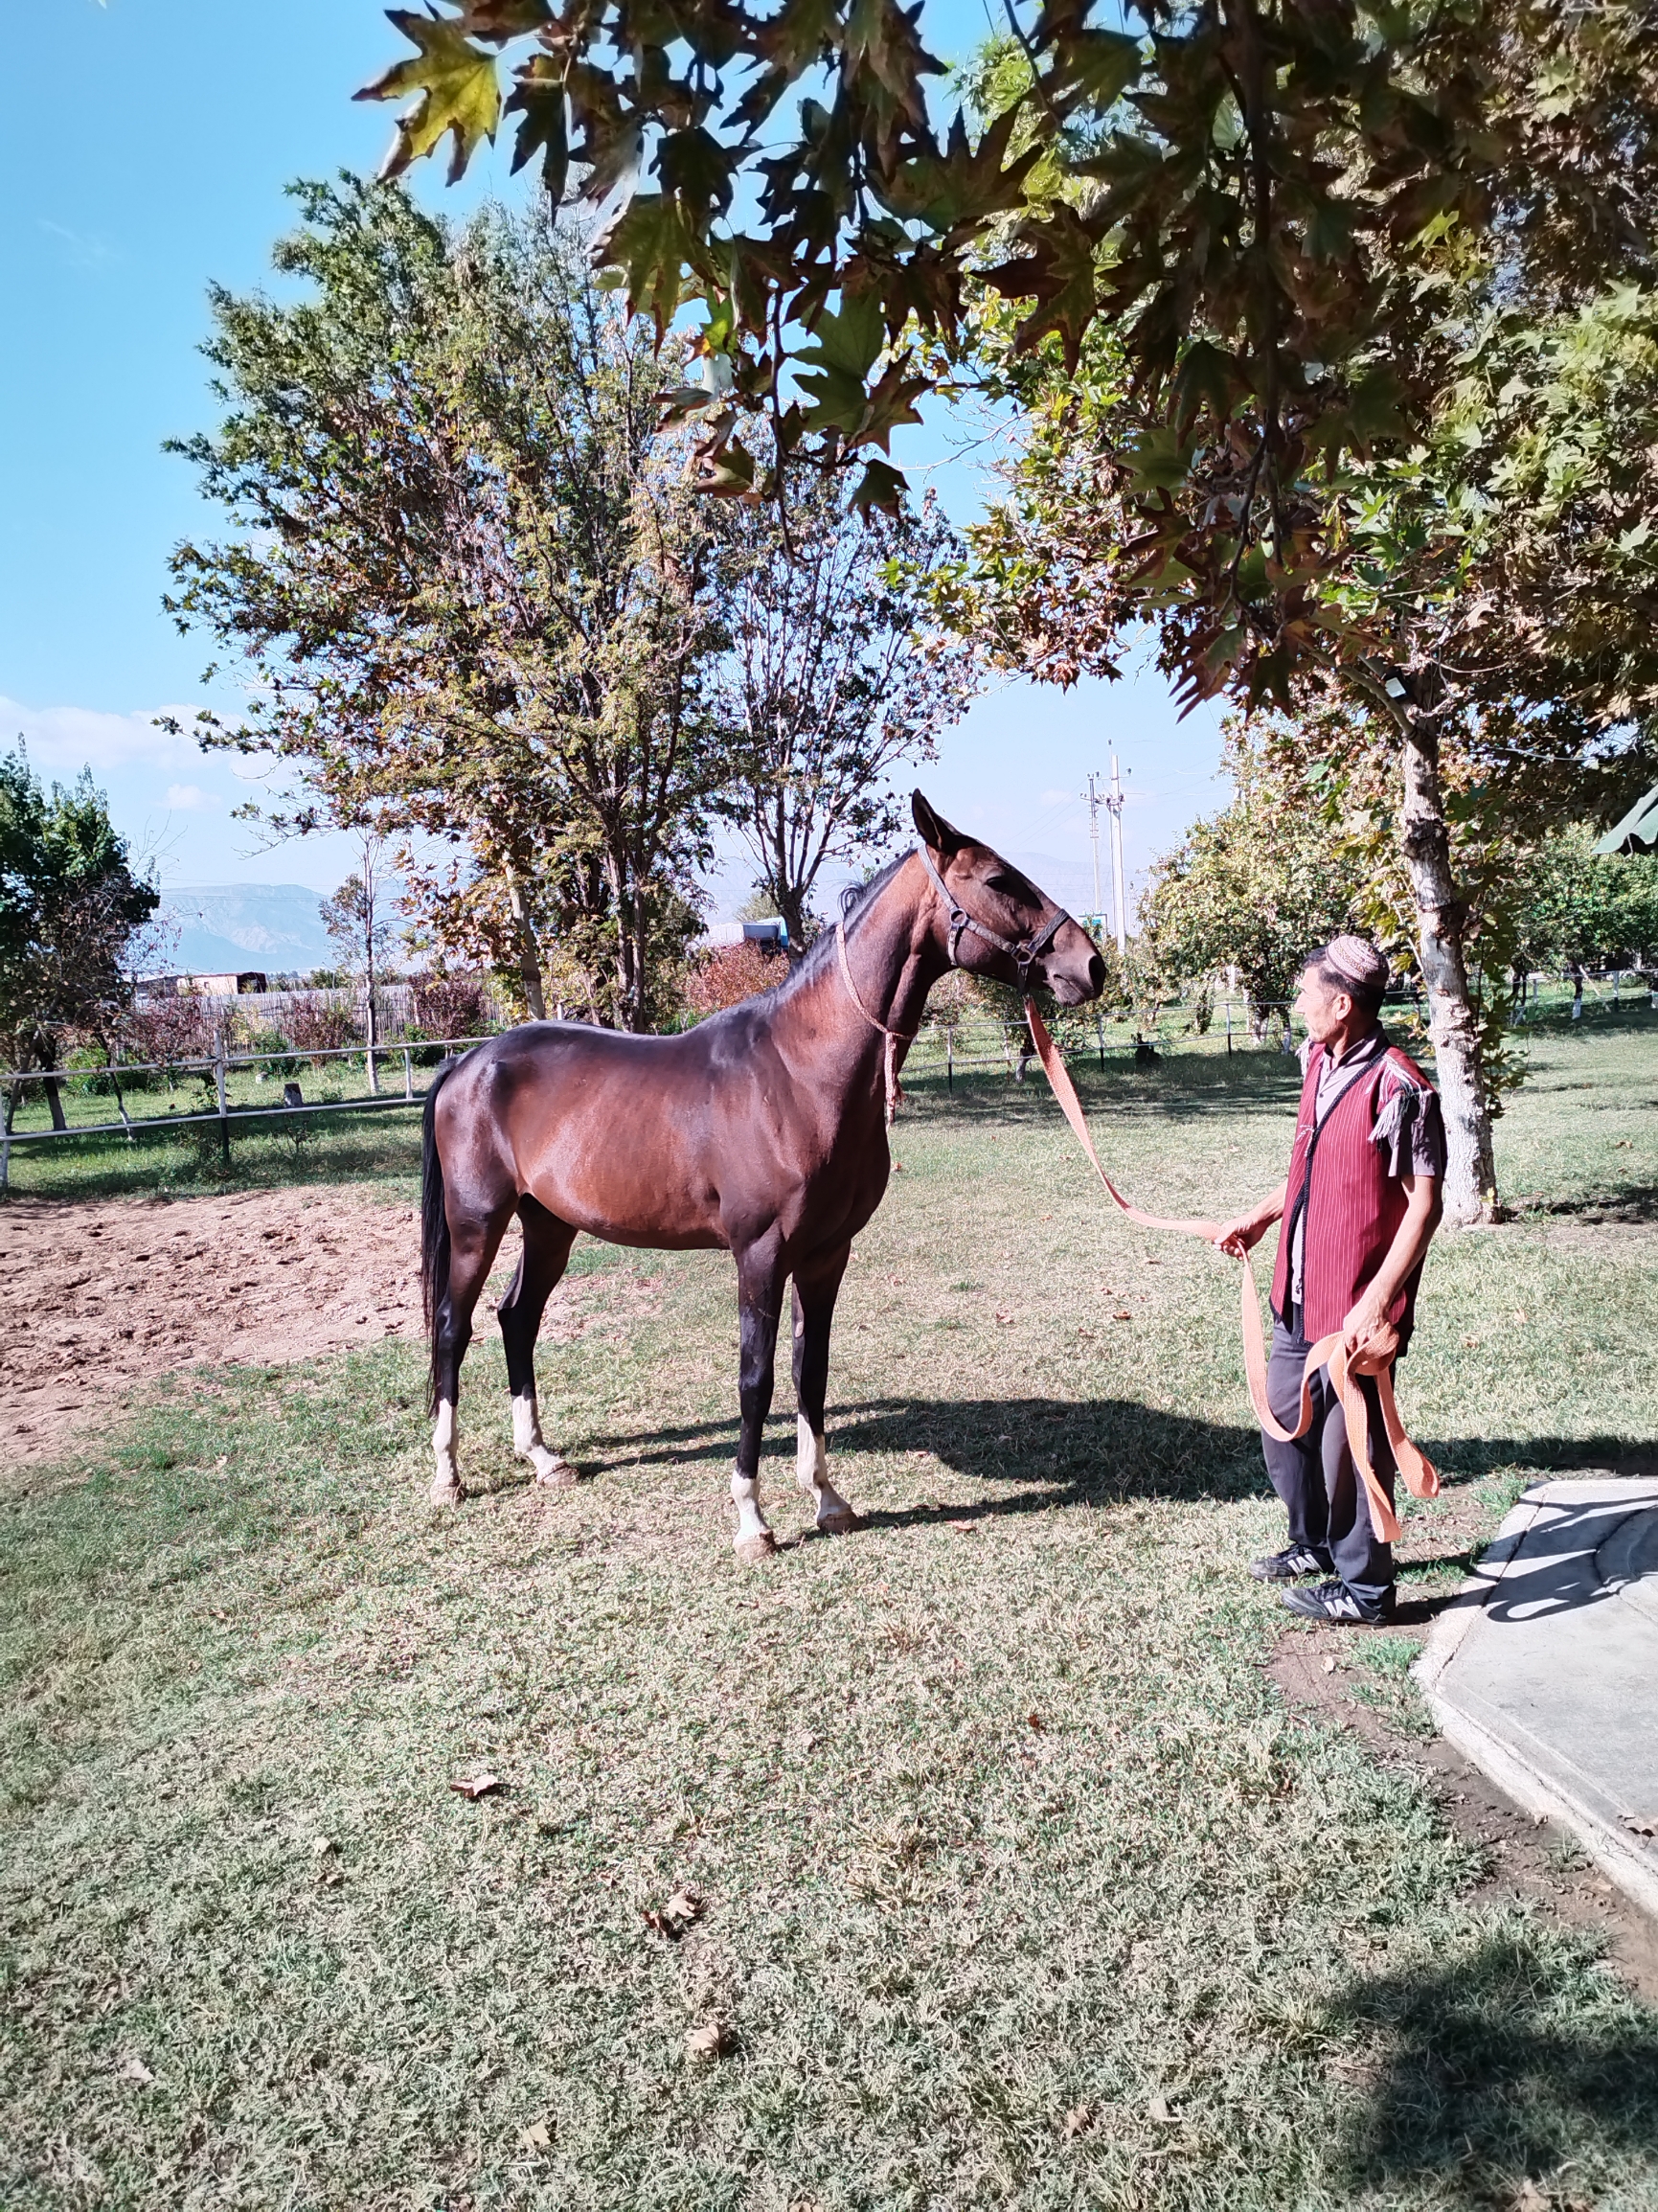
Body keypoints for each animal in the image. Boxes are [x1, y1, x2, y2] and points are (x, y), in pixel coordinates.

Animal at [421, 796, 1109, 1557]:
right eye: (996, 880)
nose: (1090, 964)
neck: (799, 1074)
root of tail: (467, 1063)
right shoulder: (759, 1254)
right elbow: (756, 1377)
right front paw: (751, 1519)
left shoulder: (826, 1255)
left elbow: (811, 1372)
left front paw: (828, 1500)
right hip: (478, 1223)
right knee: (452, 1326)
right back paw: (447, 1475)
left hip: (549, 1225)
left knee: (517, 1316)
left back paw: (544, 1458)